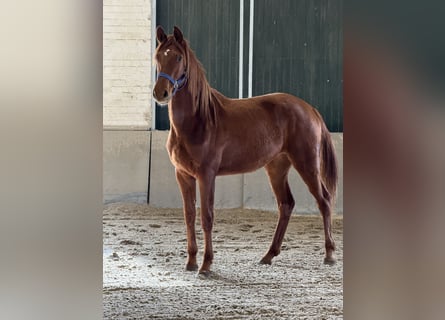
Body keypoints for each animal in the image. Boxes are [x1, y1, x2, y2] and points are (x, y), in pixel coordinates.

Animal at [153, 26, 336, 276]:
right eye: (158, 57)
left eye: (178, 57)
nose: (160, 93)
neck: (198, 120)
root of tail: (310, 109)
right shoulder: (183, 175)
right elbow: (189, 216)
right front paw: (190, 262)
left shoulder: (206, 175)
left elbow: (206, 216)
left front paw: (206, 265)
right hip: (277, 168)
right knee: (286, 204)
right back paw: (268, 255)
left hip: (307, 165)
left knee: (324, 201)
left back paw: (329, 255)